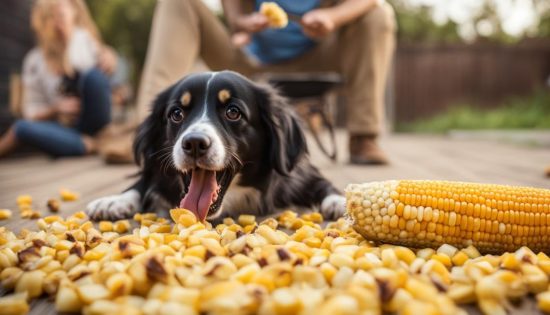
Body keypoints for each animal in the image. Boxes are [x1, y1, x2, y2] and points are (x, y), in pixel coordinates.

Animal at [85, 71, 344, 223]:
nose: (194, 143)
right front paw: (114, 201)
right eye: (176, 114)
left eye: (233, 112)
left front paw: (340, 201)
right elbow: (143, 182)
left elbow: (324, 184)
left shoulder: (300, 173)